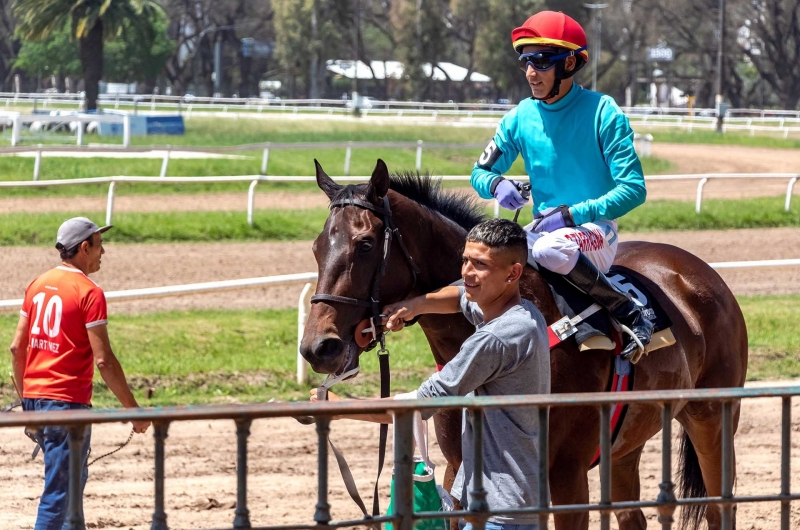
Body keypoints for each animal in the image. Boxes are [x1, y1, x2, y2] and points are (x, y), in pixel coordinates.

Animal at [300, 158, 752, 528]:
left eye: (365, 244)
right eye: (317, 246)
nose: (317, 347)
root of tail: (698, 272)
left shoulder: (566, 476)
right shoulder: (458, 469)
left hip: (712, 417)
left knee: (719, 508)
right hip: (628, 443)